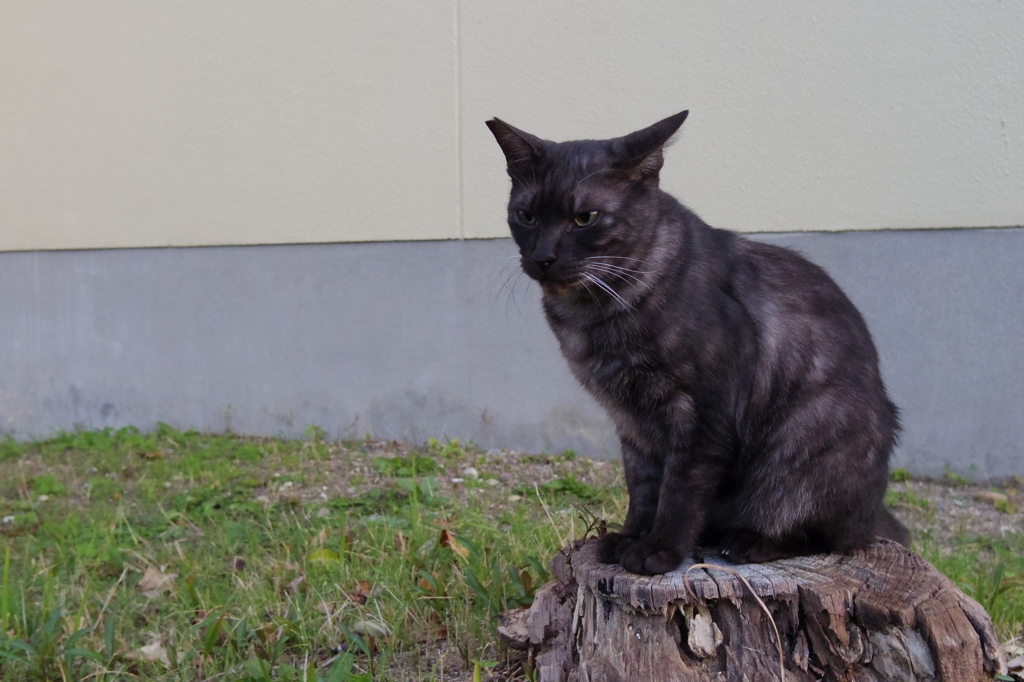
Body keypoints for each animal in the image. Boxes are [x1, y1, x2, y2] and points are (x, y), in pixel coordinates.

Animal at [487, 110, 913, 573]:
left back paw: (748, 542)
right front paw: (630, 537)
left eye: (585, 217)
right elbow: (643, 487)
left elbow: (680, 489)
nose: (543, 257)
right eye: (526, 216)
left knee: (825, 533)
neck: (594, 316)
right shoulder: (634, 424)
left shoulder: (702, 413)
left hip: (802, 443)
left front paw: (659, 550)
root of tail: (873, 510)